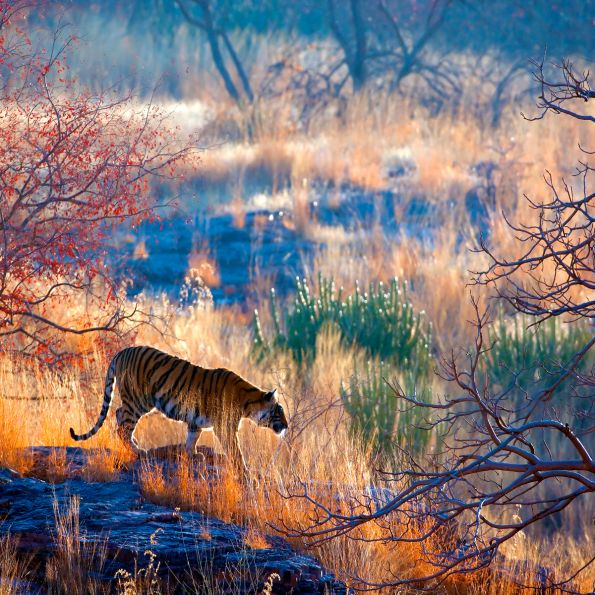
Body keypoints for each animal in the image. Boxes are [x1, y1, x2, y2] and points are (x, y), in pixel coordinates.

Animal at [70, 344, 288, 474]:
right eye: (279, 411)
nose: (286, 426)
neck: (248, 403)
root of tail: (122, 351)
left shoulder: (195, 421)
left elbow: (192, 439)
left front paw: (193, 455)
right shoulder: (225, 428)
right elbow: (235, 451)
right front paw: (244, 472)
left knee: (118, 415)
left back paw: (134, 443)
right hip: (138, 400)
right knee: (122, 424)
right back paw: (139, 450)